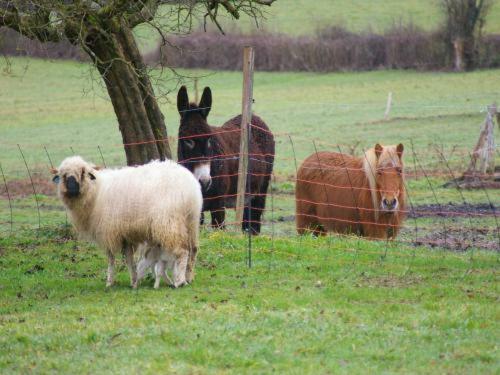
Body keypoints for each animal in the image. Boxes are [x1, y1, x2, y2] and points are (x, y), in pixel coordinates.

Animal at [52, 155, 203, 288]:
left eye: (83, 172)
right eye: (64, 175)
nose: (72, 189)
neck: (96, 192)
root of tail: (190, 187)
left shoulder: (109, 231)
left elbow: (111, 258)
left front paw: (109, 282)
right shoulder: (124, 234)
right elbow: (129, 259)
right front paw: (133, 280)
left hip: (168, 223)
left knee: (183, 251)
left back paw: (180, 281)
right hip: (191, 221)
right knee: (194, 249)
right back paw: (189, 277)